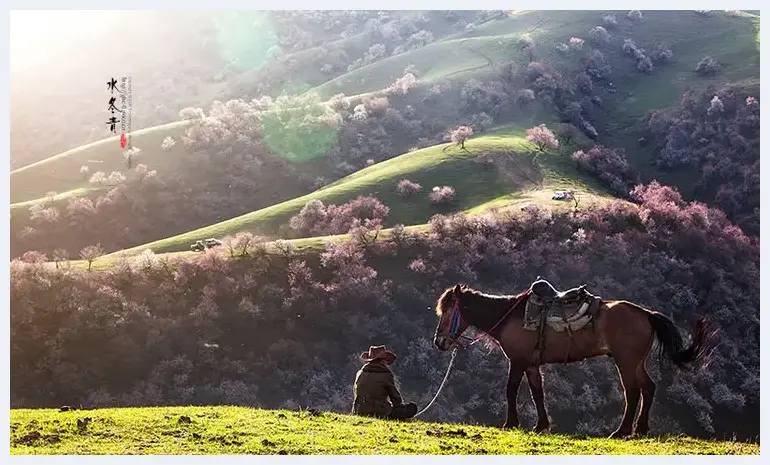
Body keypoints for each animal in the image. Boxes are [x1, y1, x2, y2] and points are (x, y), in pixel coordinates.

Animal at [432, 280, 712, 436]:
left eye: (447, 310)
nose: (439, 341)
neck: (511, 316)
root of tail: (645, 314)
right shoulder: (531, 365)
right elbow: (537, 393)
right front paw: (541, 425)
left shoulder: (518, 362)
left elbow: (510, 390)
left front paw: (510, 423)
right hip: (636, 363)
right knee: (648, 388)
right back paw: (640, 429)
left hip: (625, 362)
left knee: (632, 392)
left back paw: (621, 431)